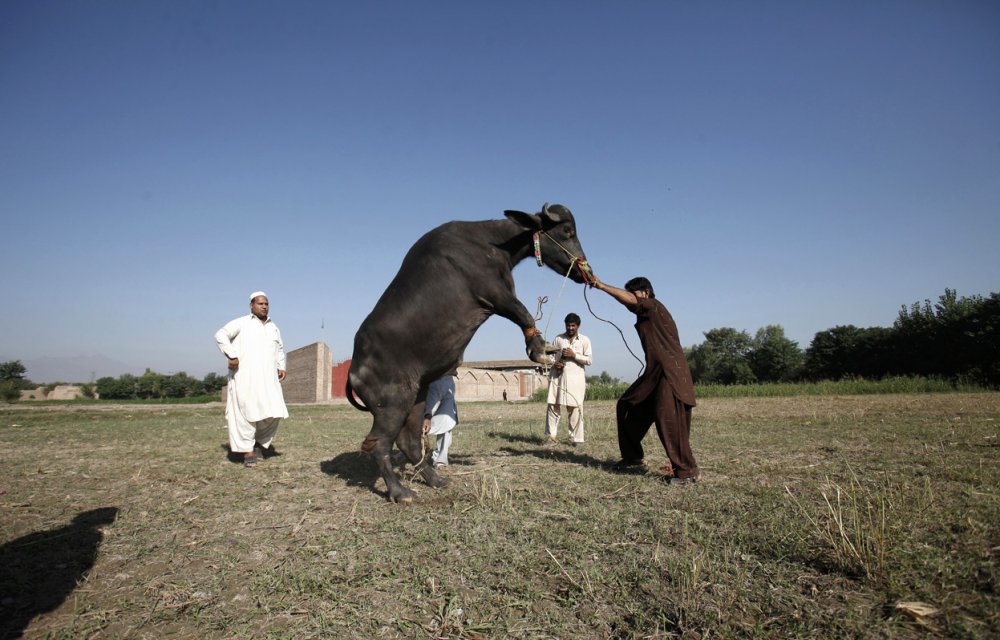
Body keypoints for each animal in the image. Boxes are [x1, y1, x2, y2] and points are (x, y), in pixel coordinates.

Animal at [348, 202, 588, 502]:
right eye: (567, 231)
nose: (583, 269)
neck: (494, 244)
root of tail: (353, 370)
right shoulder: (495, 293)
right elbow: (523, 313)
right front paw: (539, 348)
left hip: (417, 397)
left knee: (409, 441)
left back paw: (436, 480)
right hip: (392, 404)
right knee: (379, 444)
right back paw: (400, 492)